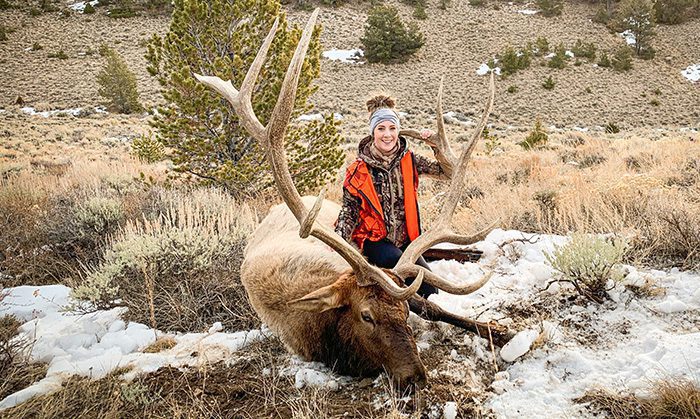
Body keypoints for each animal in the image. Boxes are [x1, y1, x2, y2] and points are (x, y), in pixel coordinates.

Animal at [194, 9, 512, 391]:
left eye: (403, 312)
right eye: (366, 315)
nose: (416, 377)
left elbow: (434, 305)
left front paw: (500, 330)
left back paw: (477, 251)